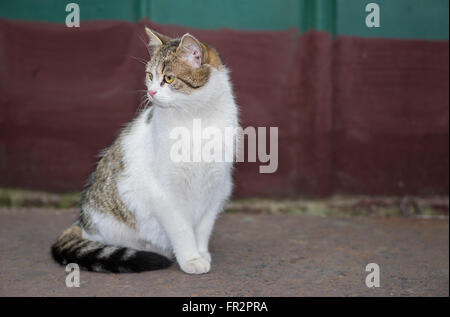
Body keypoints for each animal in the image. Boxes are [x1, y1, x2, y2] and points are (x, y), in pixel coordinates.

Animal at [51, 27, 241, 274]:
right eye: (150, 76)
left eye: (168, 78)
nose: (151, 92)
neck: (195, 118)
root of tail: (82, 222)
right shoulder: (166, 192)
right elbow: (182, 229)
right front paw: (190, 258)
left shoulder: (216, 187)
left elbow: (202, 228)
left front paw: (201, 253)